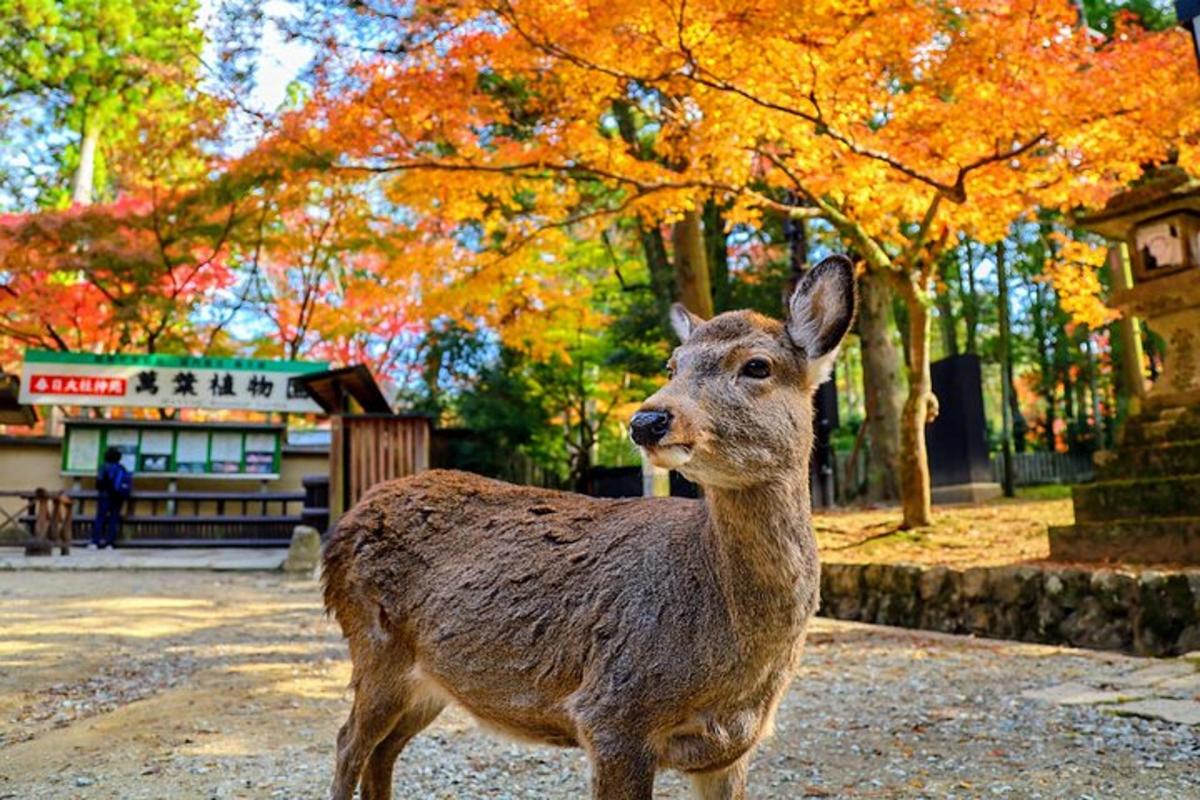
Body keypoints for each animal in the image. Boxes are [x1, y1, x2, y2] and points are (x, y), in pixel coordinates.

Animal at [324, 255, 859, 800]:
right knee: (348, 742)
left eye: (757, 365)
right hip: (375, 644)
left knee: (383, 751)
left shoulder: (731, 747)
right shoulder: (613, 711)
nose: (648, 420)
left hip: (429, 680)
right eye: (672, 365)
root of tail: (346, 523)